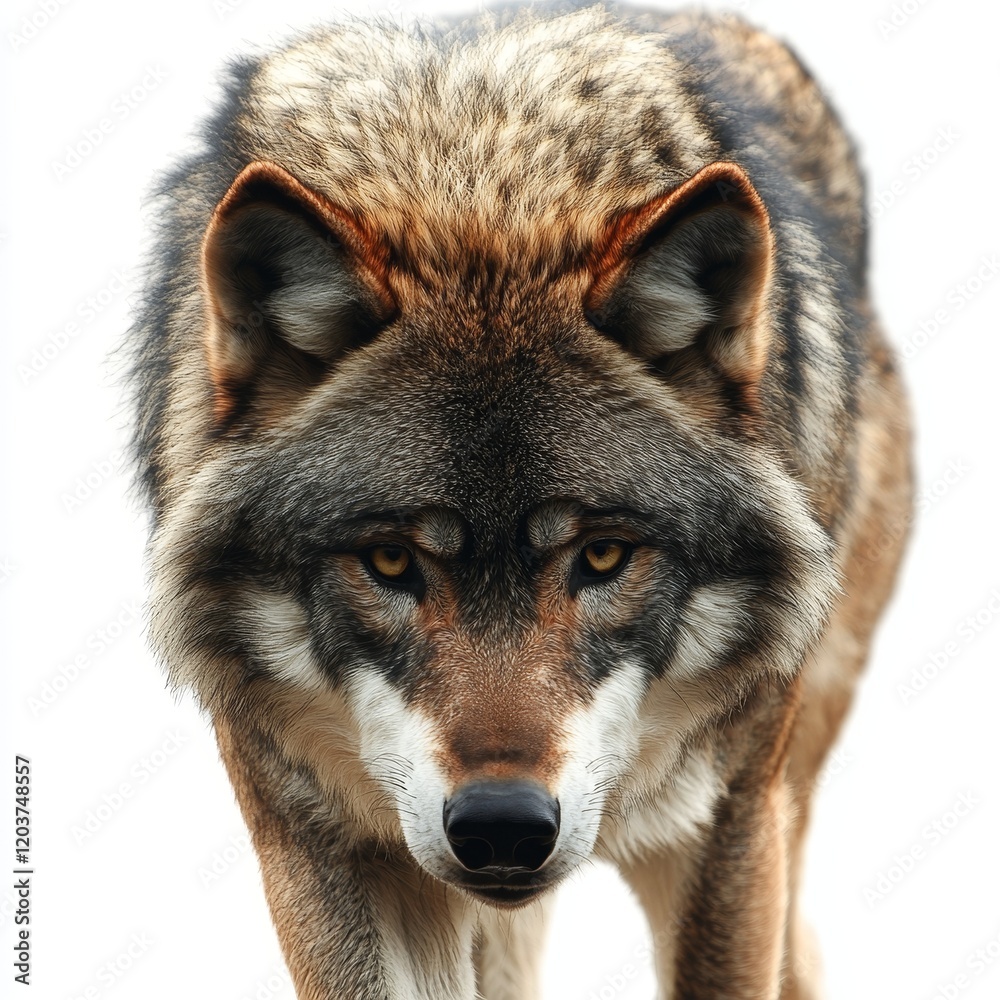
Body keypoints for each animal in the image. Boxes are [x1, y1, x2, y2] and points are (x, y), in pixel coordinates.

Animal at [128, 4, 912, 998]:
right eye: (390, 559)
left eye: (603, 555)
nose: (503, 826)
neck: (480, 178)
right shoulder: (311, 841)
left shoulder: (730, 828)